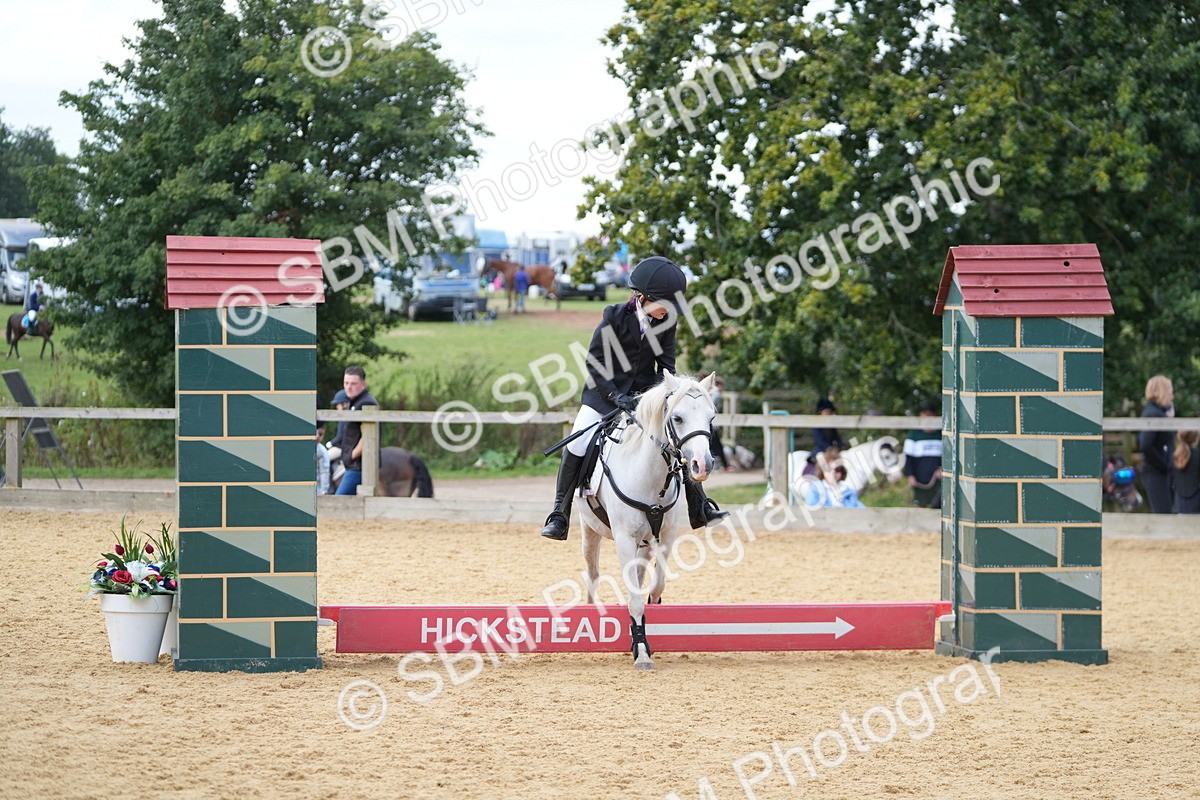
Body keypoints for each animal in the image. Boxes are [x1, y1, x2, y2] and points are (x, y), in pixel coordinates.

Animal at [578, 371, 718, 670]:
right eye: (677, 417)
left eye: (711, 418)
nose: (702, 465)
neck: (650, 476)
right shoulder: (624, 540)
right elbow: (634, 600)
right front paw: (642, 653)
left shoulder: (665, 536)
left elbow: (655, 586)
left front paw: (646, 632)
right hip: (590, 530)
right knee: (593, 574)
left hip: (643, 543)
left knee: (639, 576)